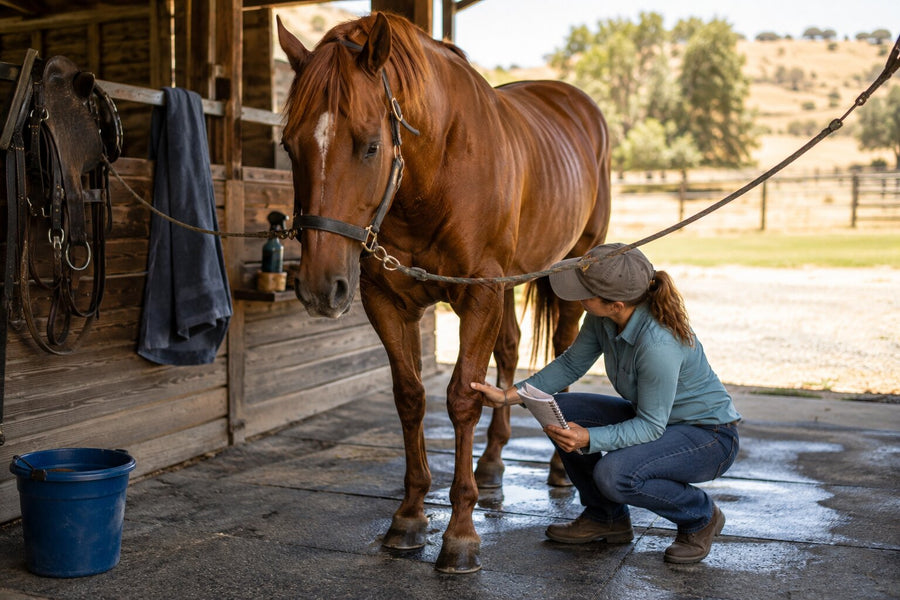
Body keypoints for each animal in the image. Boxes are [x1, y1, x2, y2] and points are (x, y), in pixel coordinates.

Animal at [277, 12, 611, 574]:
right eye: (288, 145)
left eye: (370, 144)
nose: (321, 288)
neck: (433, 174)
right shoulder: (388, 301)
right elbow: (411, 397)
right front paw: (410, 515)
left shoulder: (479, 297)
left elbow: (461, 399)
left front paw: (460, 534)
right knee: (510, 351)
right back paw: (493, 464)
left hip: (569, 270)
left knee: (562, 351)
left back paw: (559, 467)